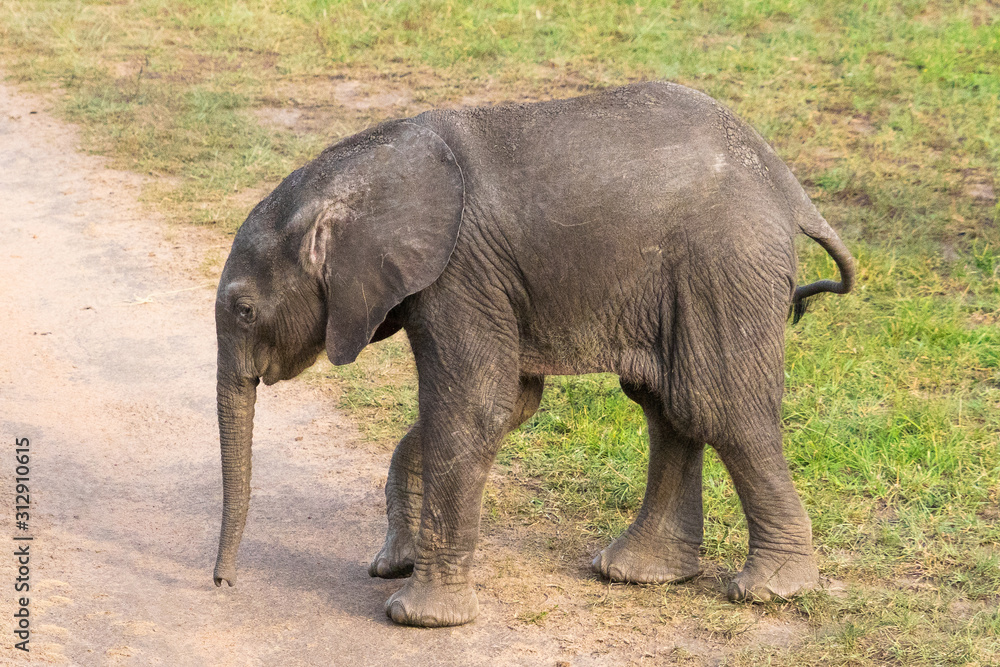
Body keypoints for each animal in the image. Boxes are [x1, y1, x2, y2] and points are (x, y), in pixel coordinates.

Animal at [212, 81, 854, 628]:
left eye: (243, 310)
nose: (223, 584)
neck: (358, 173)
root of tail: (787, 186)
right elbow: (508, 404)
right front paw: (391, 564)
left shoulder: (462, 272)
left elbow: (473, 408)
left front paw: (416, 617)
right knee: (666, 405)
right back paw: (637, 574)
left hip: (722, 263)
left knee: (717, 406)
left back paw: (769, 590)